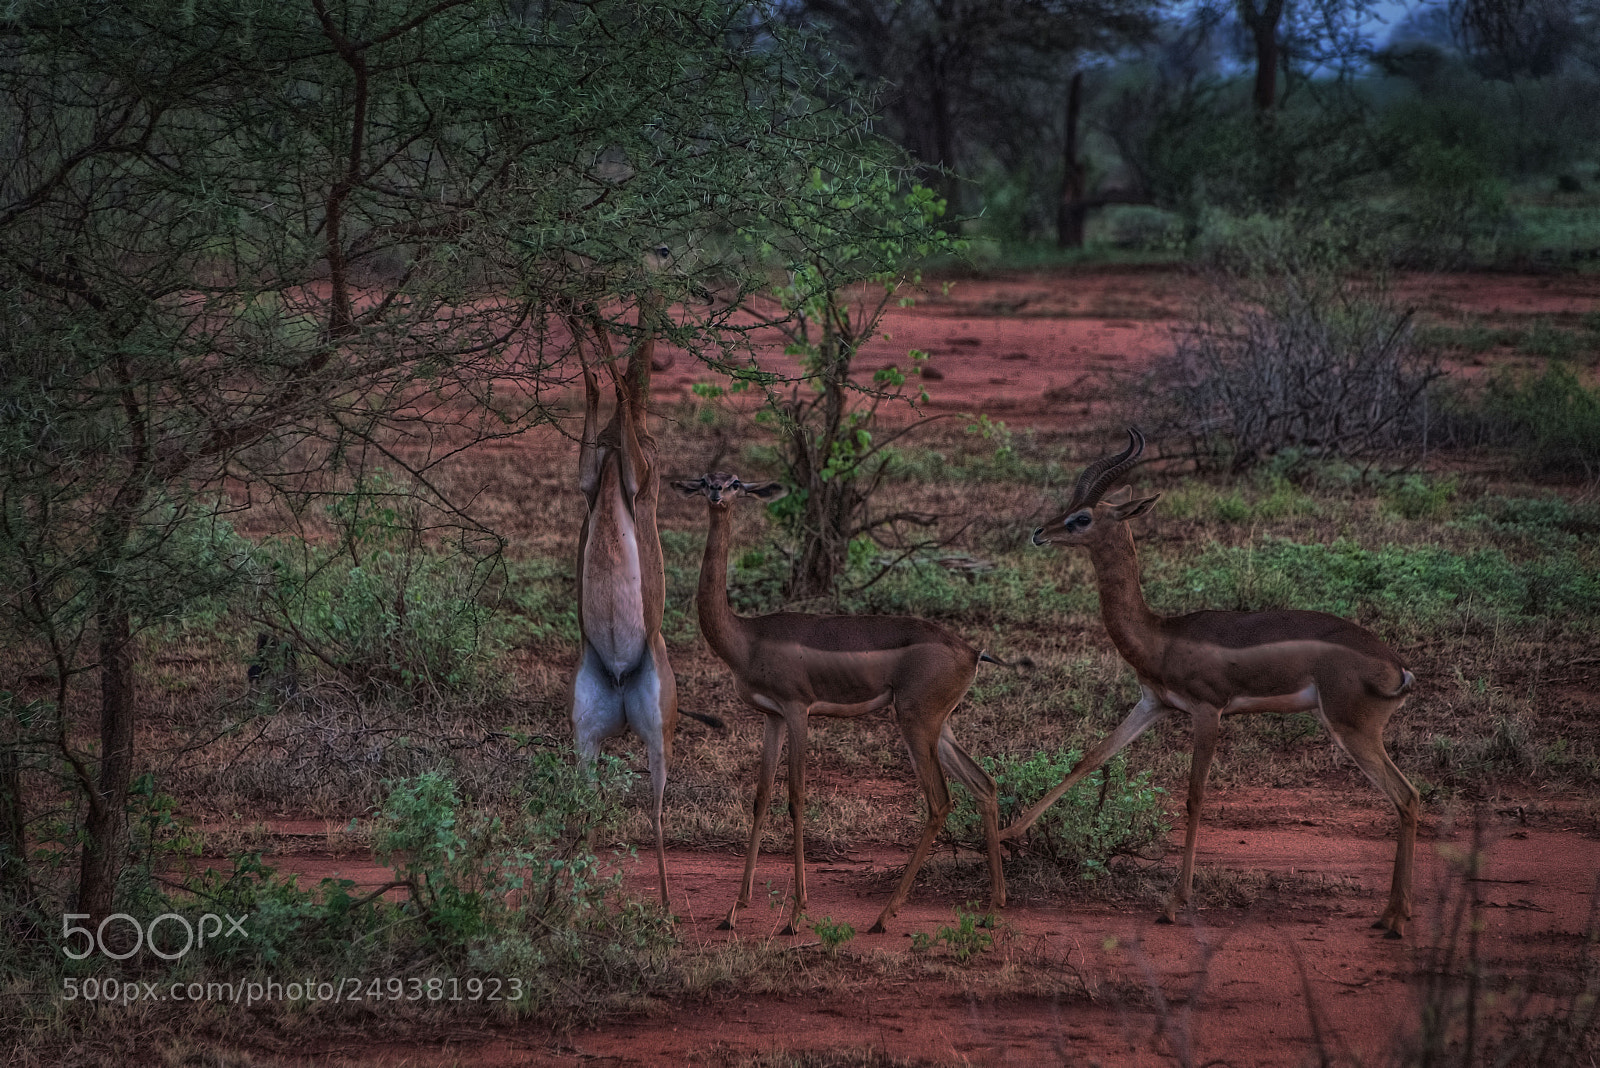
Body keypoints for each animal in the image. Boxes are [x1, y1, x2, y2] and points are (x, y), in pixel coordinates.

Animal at [673, 472, 1021, 934]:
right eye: (705, 480)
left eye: (735, 484)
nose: (716, 496)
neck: (745, 638)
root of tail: (972, 652)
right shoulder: (771, 717)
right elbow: (761, 798)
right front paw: (733, 911)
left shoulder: (798, 711)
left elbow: (796, 799)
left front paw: (796, 915)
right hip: (940, 726)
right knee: (985, 785)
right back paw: (992, 906)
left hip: (914, 722)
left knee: (939, 802)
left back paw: (883, 916)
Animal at [1006, 429, 1419, 937]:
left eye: (1081, 517)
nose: (1040, 533)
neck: (1161, 635)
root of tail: (1397, 667)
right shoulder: (1153, 704)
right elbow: (1088, 759)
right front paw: (1005, 835)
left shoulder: (1208, 711)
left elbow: (1194, 796)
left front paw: (1172, 903)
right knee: (1406, 798)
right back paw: (1391, 914)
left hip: (1352, 730)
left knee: (1407, 796)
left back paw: (1395, 918)